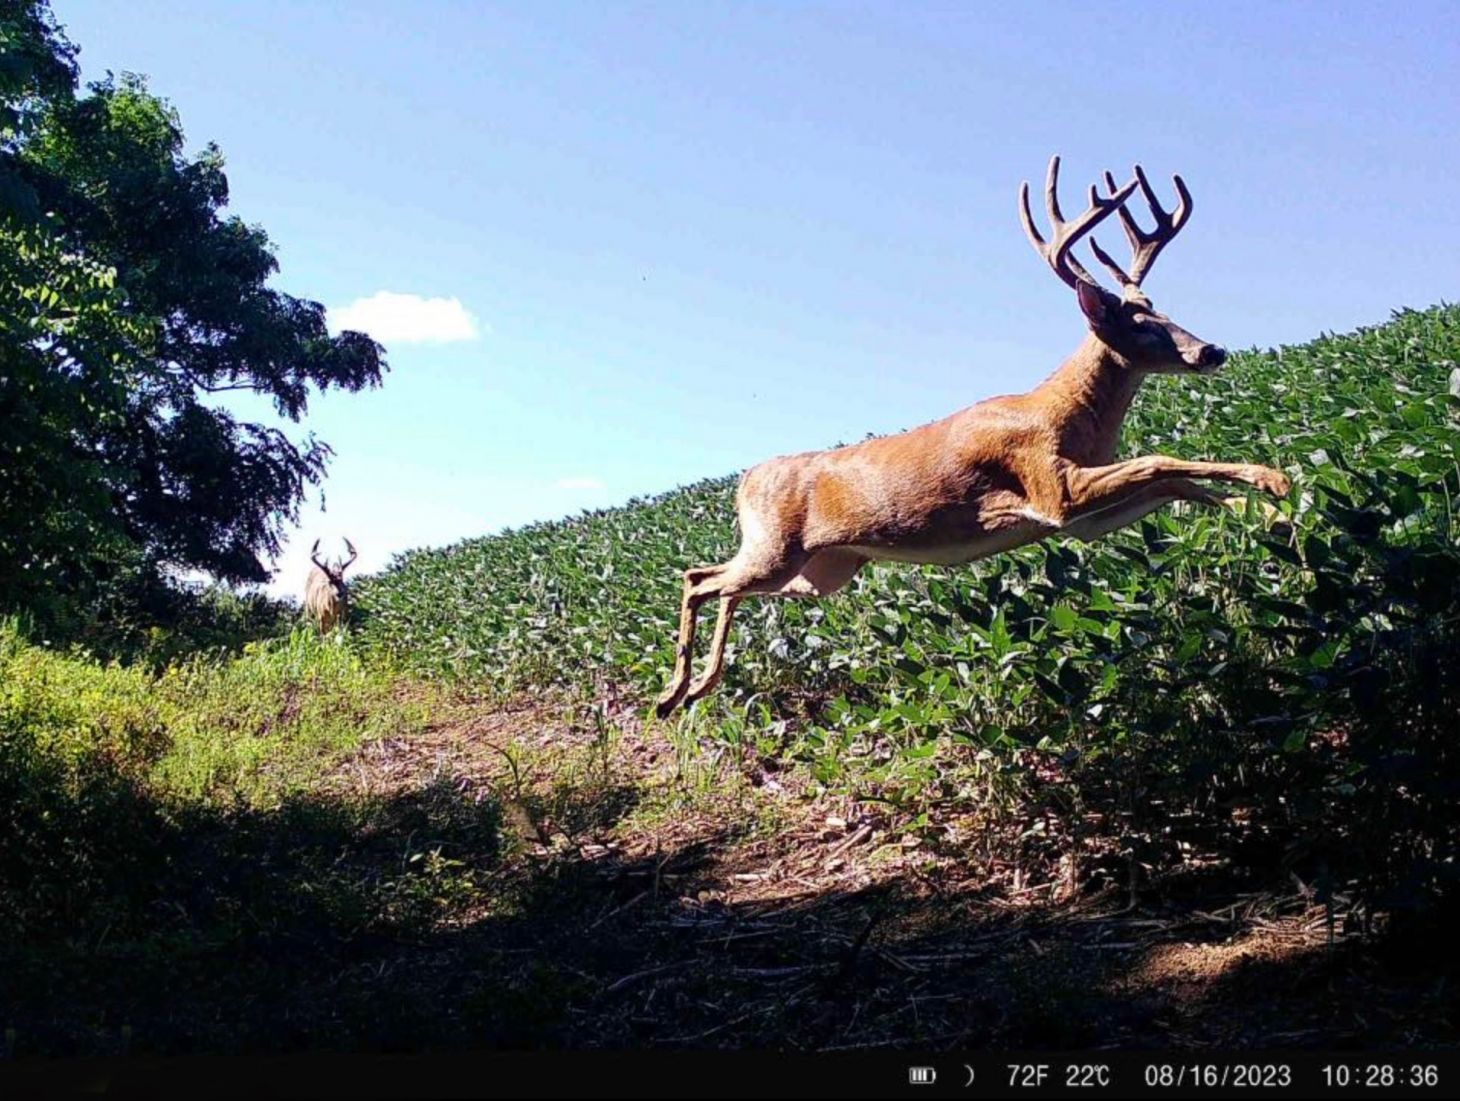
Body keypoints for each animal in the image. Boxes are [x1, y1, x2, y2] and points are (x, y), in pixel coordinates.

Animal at [654, 155, 1292, 718]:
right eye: (1138, 323)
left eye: (1161, 308)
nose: (1211, 351)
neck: (1067, 416)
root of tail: (744, 481)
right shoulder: (1052, 490)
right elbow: (1160, 459)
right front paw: (1271, 479)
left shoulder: (1080, 520)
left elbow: (1177, 484)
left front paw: (1268, 512)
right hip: (778, 550)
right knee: (701, 581)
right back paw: (673, 692)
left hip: (823, 570)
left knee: (715, 582)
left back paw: (694, 689)